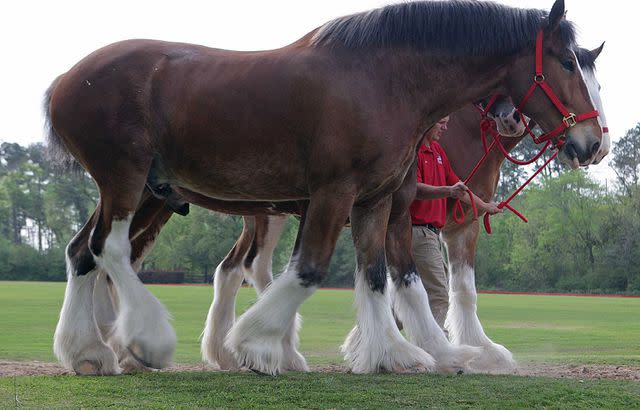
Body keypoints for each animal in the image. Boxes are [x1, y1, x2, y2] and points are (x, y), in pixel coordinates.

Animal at [47, 0, 604, 374]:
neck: (382, 79)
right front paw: (255, 343)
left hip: (137, 189)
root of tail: (65, 80)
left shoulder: (376, 200)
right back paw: (147, 340)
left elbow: (382, 276)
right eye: (567, 62)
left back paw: (90, 351)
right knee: (112, 250)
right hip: (127, 178)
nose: (592, 142)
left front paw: (398, 353)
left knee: (83, 252)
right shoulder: (336, 194)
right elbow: (311, 269)